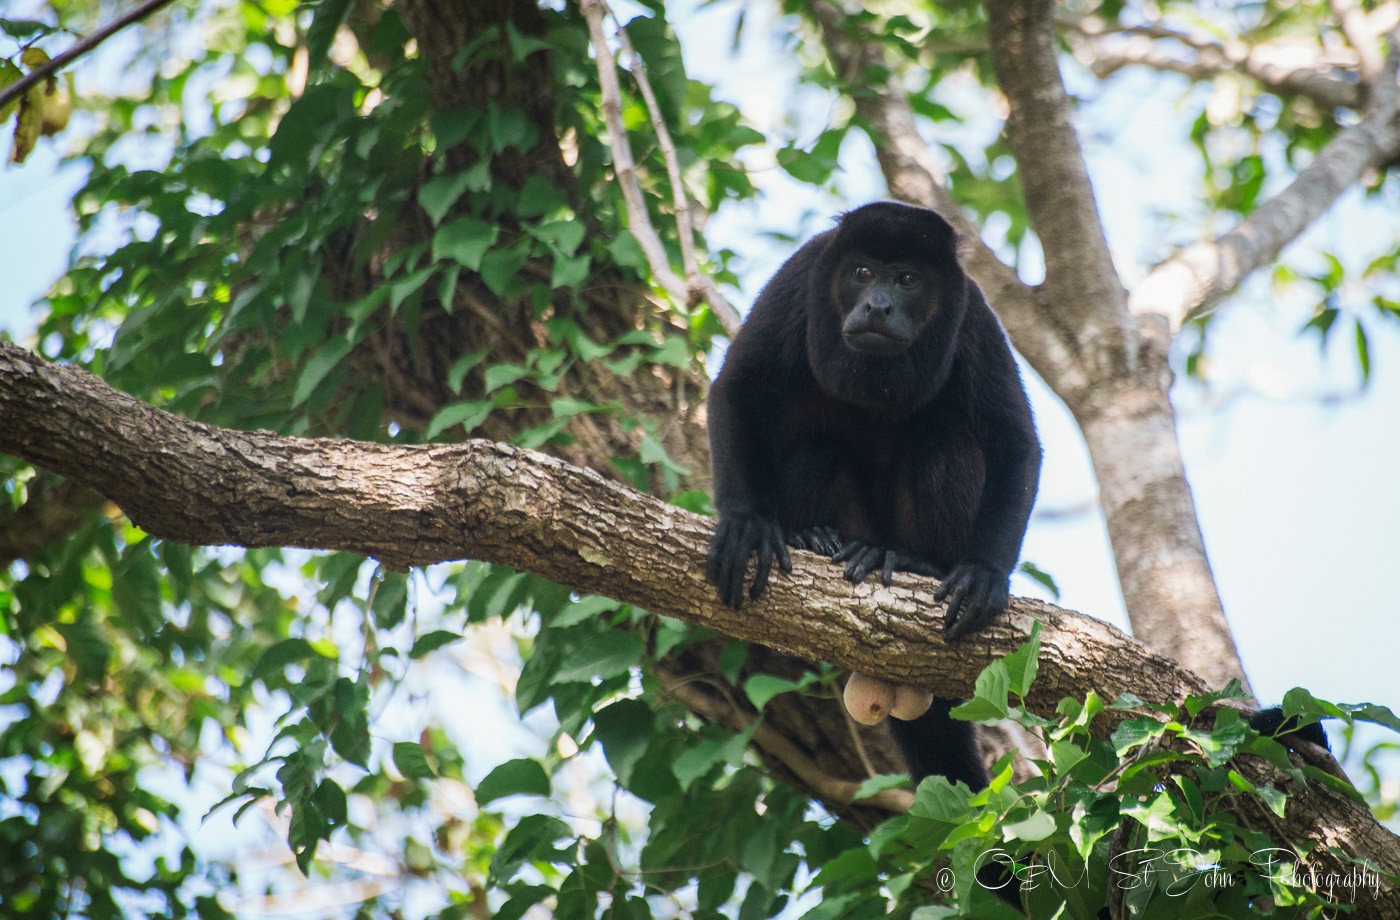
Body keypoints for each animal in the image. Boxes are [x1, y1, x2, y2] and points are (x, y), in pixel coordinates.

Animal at [705, 203, 1047, 789]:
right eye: (862, 273)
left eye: (907, 279)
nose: (878, 305)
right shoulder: (800, 274)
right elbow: (739, 385)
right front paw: (748, 522)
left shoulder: (975, 315)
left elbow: (1013, 440)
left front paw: (984, 573)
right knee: (818, 446)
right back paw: (819, 538)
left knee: (945, 437)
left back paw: (915, 562)